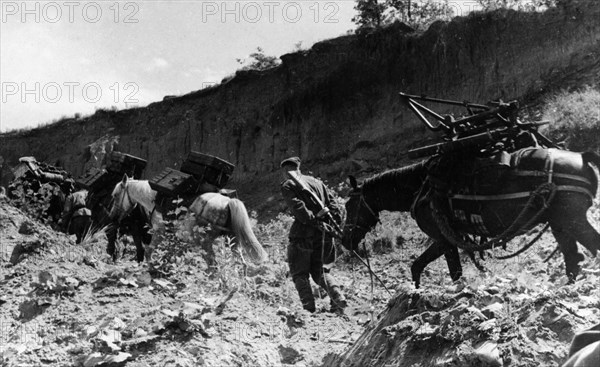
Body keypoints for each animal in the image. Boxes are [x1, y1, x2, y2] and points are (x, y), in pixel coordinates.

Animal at [108, 175, 268, 264]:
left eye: (115, 195)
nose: (112, 216)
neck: (155, 199)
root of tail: (228, 202)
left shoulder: (159, 232)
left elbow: (148, 252)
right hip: (232, 240)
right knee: (241, 263)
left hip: (204, 243)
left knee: (213, 266)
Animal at [342, 148, 600, 288]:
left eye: (349, 205)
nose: (346, 241)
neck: (421, 186)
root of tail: (582, 156)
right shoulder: (450, 239)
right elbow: (418, 266)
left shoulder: (443, 240)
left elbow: (448, 272)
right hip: (560, 224)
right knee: (572, 258)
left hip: (572, 221)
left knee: (589, 247)